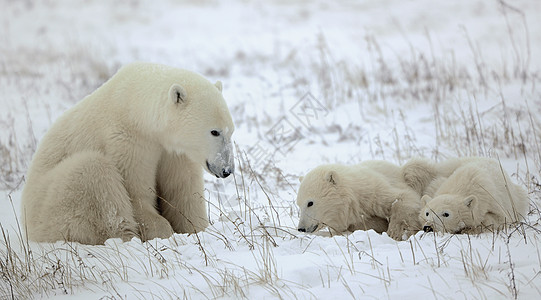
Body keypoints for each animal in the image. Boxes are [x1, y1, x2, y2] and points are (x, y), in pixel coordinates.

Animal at [20, 62, 234, 245]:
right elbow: (135, 192)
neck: (135, 108)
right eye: (214, 132)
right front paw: (164, 233)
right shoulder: (128, 140)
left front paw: (197, 230)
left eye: (231, 130)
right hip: (48, 204)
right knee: (92, 173)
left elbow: (182, 191)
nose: (227, 170)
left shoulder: (174, 151)